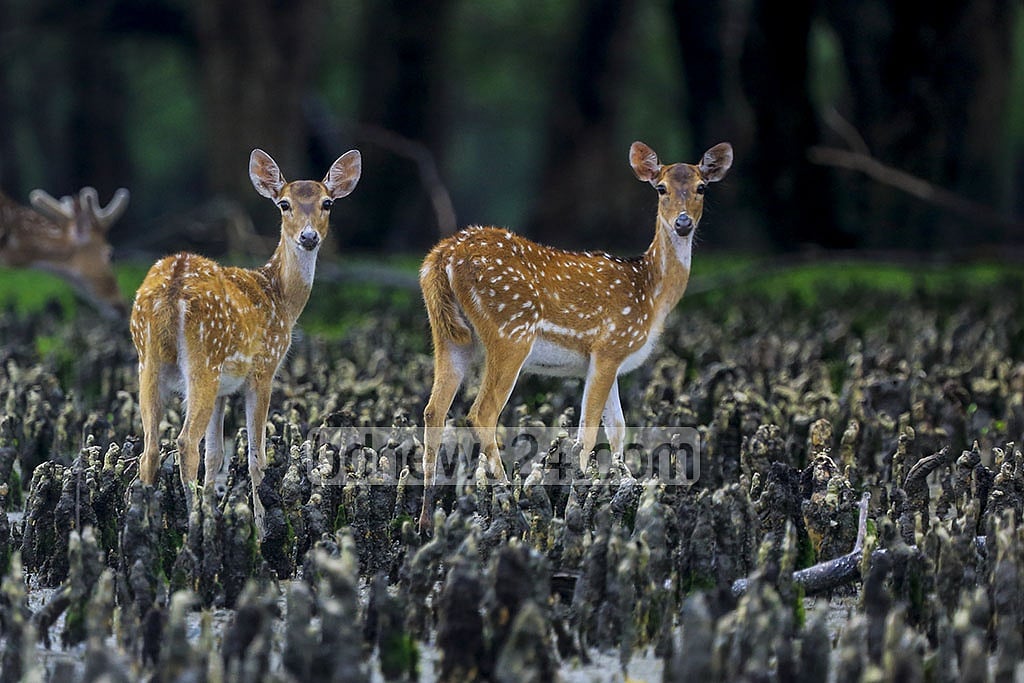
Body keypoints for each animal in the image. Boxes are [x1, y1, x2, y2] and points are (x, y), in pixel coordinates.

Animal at [130, 148, 361, 537]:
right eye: (284, 204)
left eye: (327, 203)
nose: (309, 237)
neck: (280, 298)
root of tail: (172, 287)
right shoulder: (264, 370)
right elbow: (256, 456)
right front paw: (261, 527)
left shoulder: (225, 389)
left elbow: (216, 455)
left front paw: (216, 509)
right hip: (203, 361)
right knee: (184, 442)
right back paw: (192, 522)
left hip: (147, 361)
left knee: (150, 449)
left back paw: (147, 530)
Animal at [419, 141, 733, 528]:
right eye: (661, 188)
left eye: (702, 187)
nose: (683, 222)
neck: (650, 293)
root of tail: (441, 256)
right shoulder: (610, 344)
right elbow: (588, 430)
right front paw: (579, 497)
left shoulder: (608, 360)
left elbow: (617, 427)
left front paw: (624, 484)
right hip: (510, 330)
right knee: (481, 412)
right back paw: (512, 503)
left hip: (448, 335)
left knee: (434, 411)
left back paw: (425, 519)